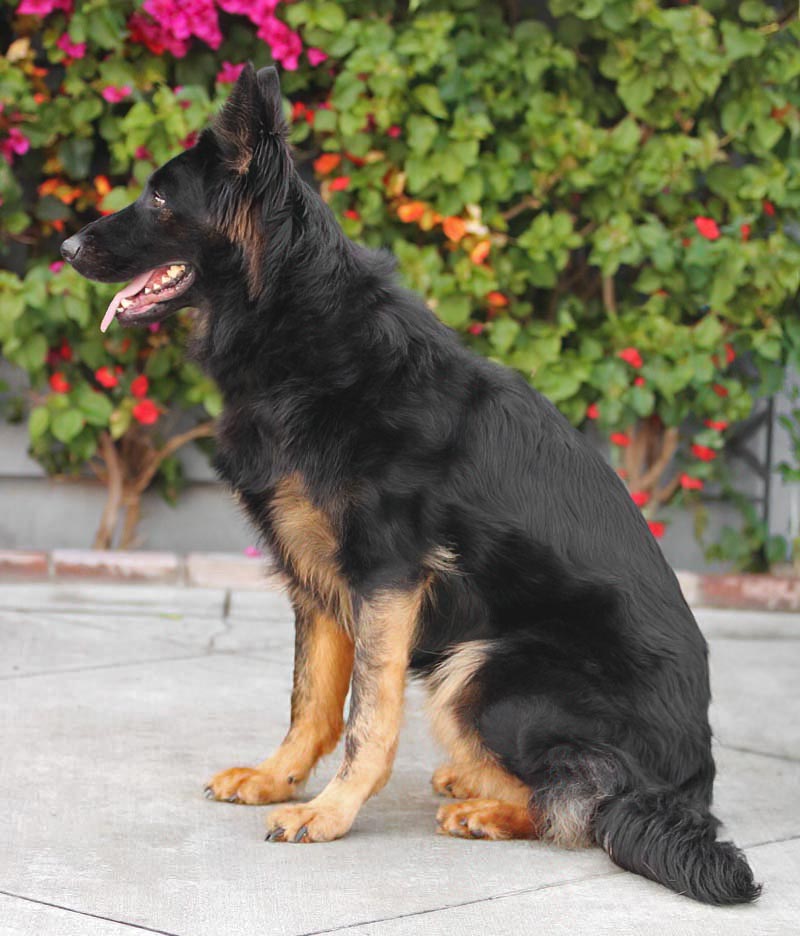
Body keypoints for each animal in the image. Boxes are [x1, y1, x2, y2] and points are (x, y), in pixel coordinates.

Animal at [62, 64, 760, 905]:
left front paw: (330, 813)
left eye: (162, 200)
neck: (297, 324)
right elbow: (312, 699)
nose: (64, 246)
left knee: (583, 801)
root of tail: (691, 781)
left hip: (484, 668)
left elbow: (370, 715)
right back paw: (470, 780)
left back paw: (488, 807)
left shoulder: (385, 576)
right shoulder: (317, 575)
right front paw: (278, 778)